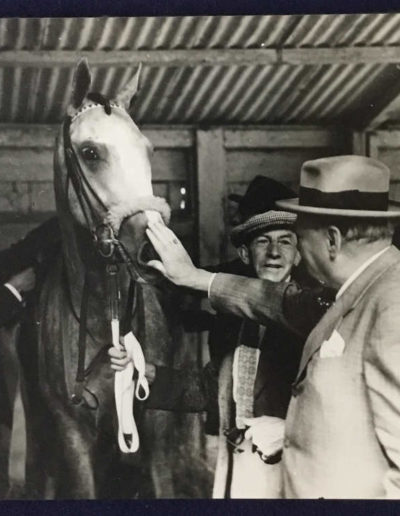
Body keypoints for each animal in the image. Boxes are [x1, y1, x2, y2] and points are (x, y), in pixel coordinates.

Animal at [15, 60, 206, 500]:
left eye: (149, 151)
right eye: (90, 152)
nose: (153, 250)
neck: (106, 315)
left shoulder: (157, 434)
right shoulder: (73, 438)